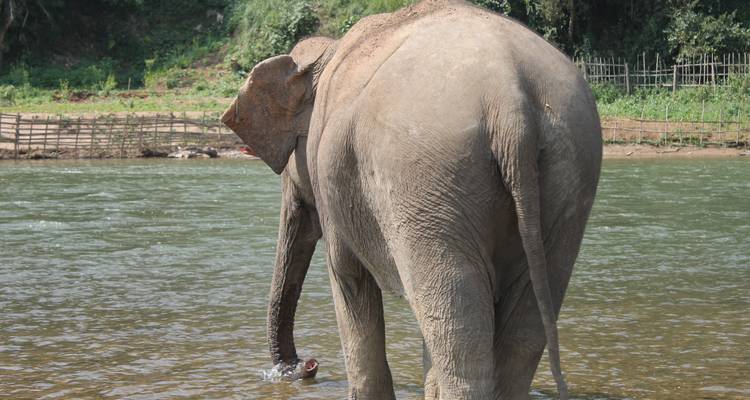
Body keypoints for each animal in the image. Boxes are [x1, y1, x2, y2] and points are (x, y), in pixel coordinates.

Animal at [221, 0, 601, 398]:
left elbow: (349, 278)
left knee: (453, 319)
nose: (305, 366)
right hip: (567, 175)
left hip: (429, 178)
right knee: (521, 326)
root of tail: (510, 103)